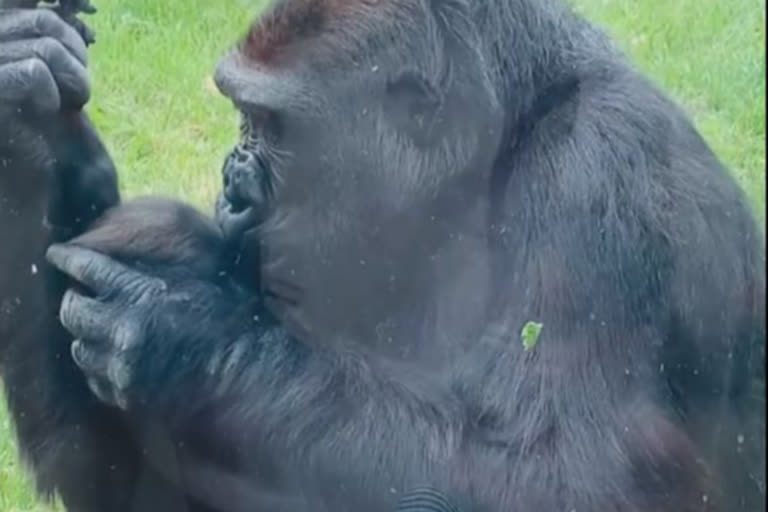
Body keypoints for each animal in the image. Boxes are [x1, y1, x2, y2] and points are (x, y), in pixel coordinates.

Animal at [1, 1, 768, 512]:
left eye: (270, 124)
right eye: (243, 115)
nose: (230, 182)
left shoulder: (604, 180)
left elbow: (568, 480)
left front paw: (185, 326)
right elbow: (120, 481)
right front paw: (29, 107)